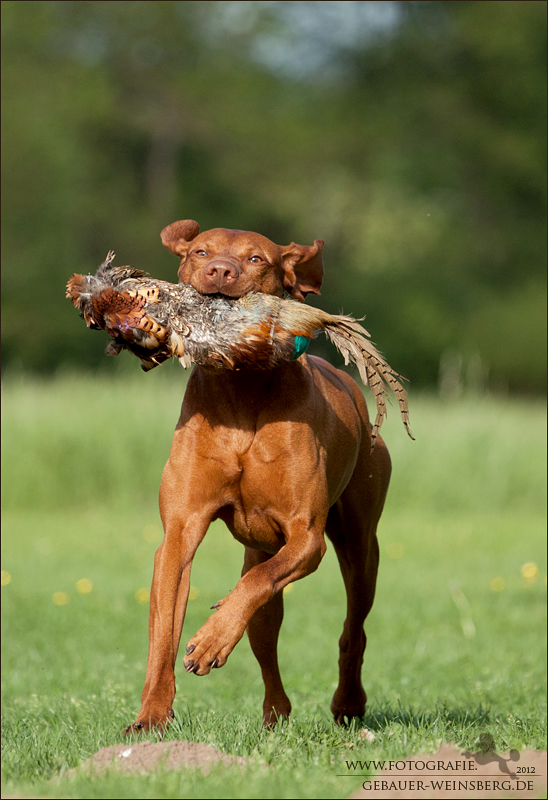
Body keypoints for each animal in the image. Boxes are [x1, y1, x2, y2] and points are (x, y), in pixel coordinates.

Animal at [125, 219, 390, 732]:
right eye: (201, 251)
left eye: (256, 259)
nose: (219, 271)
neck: (241, 388)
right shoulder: (179, 535)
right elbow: (163, 635)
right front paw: (151, 716)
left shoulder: (307, 538)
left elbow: (254, 586)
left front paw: (210, 639)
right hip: (261, 553)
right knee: (264, 631)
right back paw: (275, 713)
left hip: (360, 548)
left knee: (353, 627)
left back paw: (348, 702)